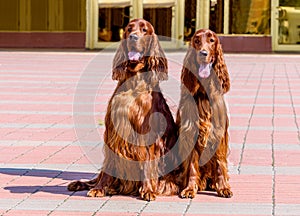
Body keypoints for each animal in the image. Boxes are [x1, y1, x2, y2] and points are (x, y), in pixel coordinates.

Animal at [68, 18, 178, 201]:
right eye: (129, 29)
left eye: (145, 30)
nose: (133, 37)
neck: (133, 81)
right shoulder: (113, 132)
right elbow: (107, 168)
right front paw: (99, 188)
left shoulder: (147, 134)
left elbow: (148, 164)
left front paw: (148, 190)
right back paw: (83, 184)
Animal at [177, 29, 233, 199]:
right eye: (196, 40)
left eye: (211, 40)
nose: (203, 53)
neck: (203, 92)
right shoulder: (192, 132)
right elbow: (192, 166)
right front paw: (190, 188)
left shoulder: (218, 133)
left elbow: (220, 164)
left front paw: (223, 187)